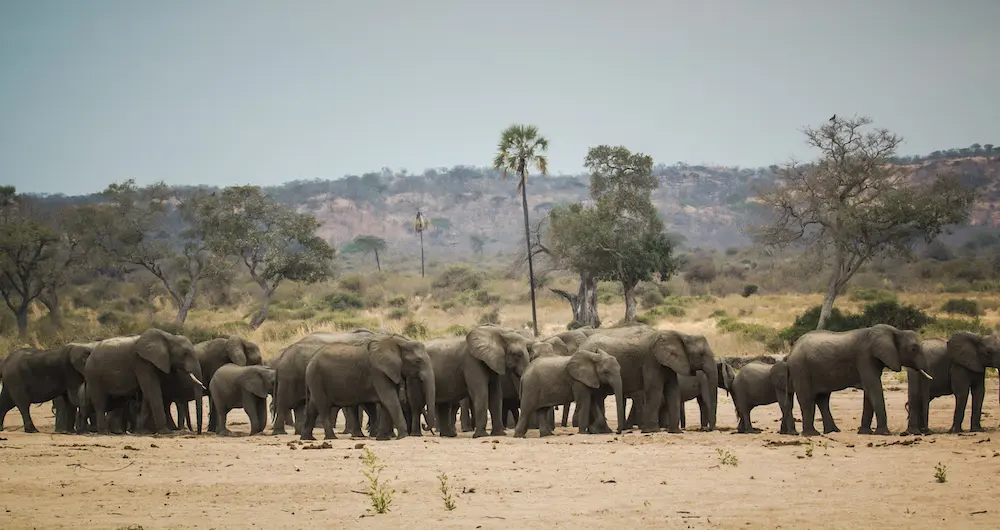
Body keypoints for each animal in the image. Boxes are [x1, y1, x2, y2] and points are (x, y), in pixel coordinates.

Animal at [300, 333, 435, 441]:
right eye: (418, 361)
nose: (424, 425)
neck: (398, 342)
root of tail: (310, 360)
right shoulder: (378, 371)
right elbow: (389, 399)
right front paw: (403, 436)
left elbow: (386, 402)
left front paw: (382, 439)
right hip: (316, 377)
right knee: (323, 407)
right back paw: (331, 438)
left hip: (315, 380)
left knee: (313, 407)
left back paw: (307, 438)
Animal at [580, 326, 710, 434]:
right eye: (701, 354)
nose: (710, 429)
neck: (680, 335)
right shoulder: (651, 361)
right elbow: (655, 390)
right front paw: (651, 431)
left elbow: (672, 390)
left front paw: (675, 432)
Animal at [786, 324, 932, 436]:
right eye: (914, 349)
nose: (924, 432)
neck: (896, 331)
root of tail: (792, 349)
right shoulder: (864, 357)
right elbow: (873, 388)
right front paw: (884, 433)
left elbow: (869, 392)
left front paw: (865, 432)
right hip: (800, 368)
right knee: (807, 399)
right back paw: (812, 434)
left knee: (823, 399)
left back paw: (833, 431)